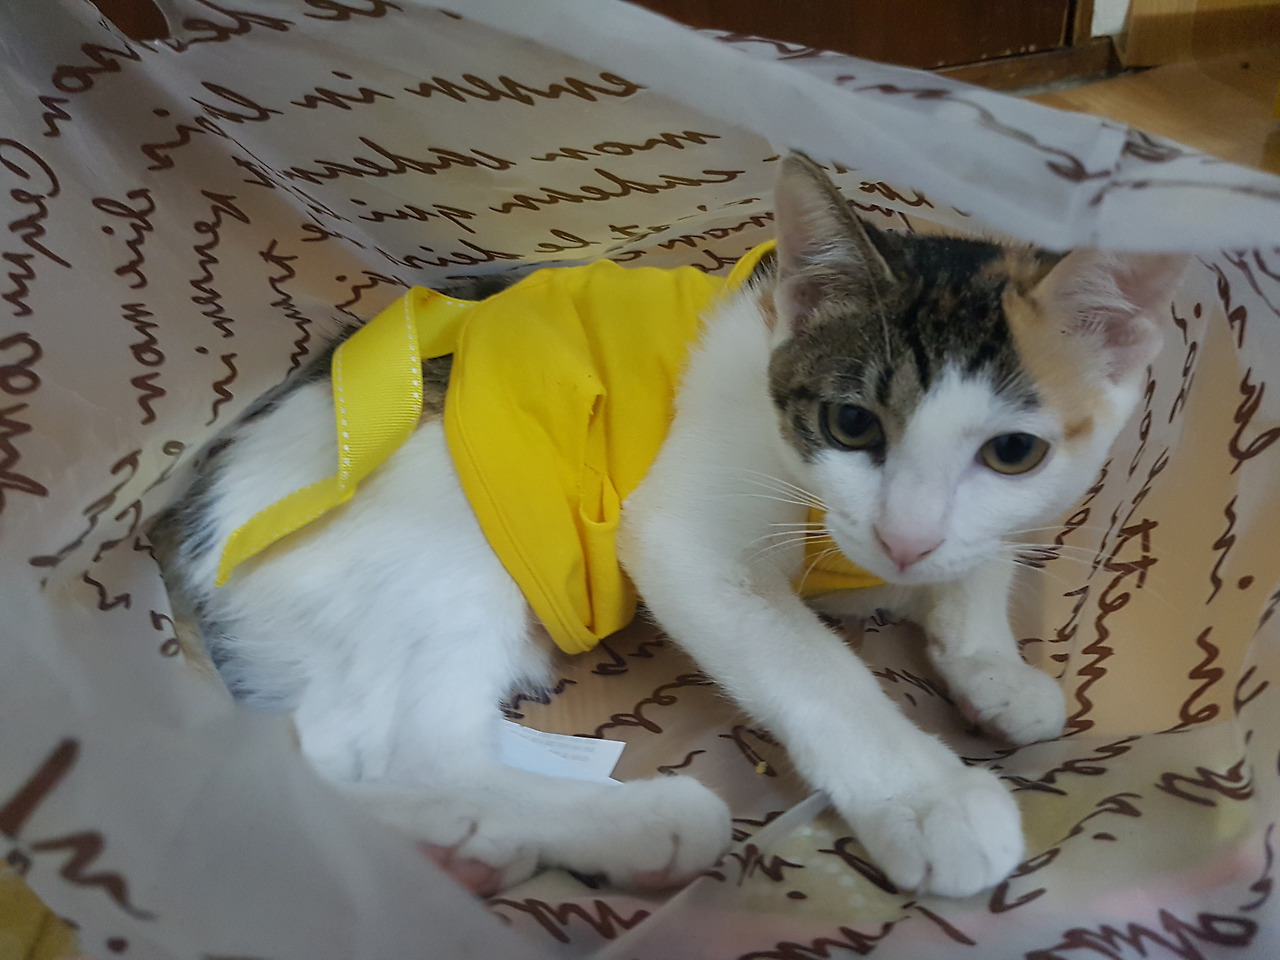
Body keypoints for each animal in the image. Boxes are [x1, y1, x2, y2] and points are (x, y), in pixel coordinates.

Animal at [152, 153, 1188, 899]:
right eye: (851, 424)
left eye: (1012, 452)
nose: (903, 539)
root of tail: (186, 524)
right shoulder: (686, 541)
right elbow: (818, 671)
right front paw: (926, 796)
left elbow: (980, 562)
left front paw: (990, 667)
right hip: (442, 543)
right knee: (366, 751)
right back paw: (605, 826)